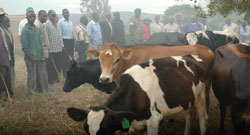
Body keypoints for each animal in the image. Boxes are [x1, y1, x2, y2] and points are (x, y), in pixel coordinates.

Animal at [67, 54, 208, 135]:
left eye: (104, 131)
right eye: (86, 129)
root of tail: (192, 56)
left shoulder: (153, 120)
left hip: (201, 98)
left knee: (202, 120)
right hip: (188, 101)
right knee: (189, 117)